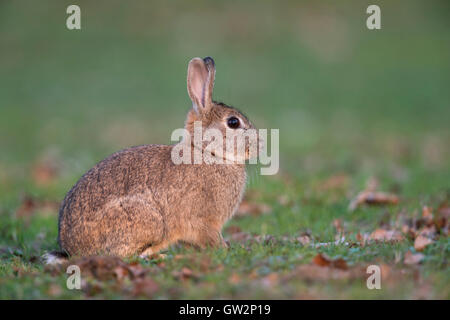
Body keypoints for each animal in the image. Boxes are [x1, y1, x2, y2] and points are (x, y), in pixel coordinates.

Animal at [44, 57, 260, 262]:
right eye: (233, 122)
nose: (259, 145)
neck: (207, 152)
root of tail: (72, 250)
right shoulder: (203, 220)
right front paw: (225, 249)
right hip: (149, 221)